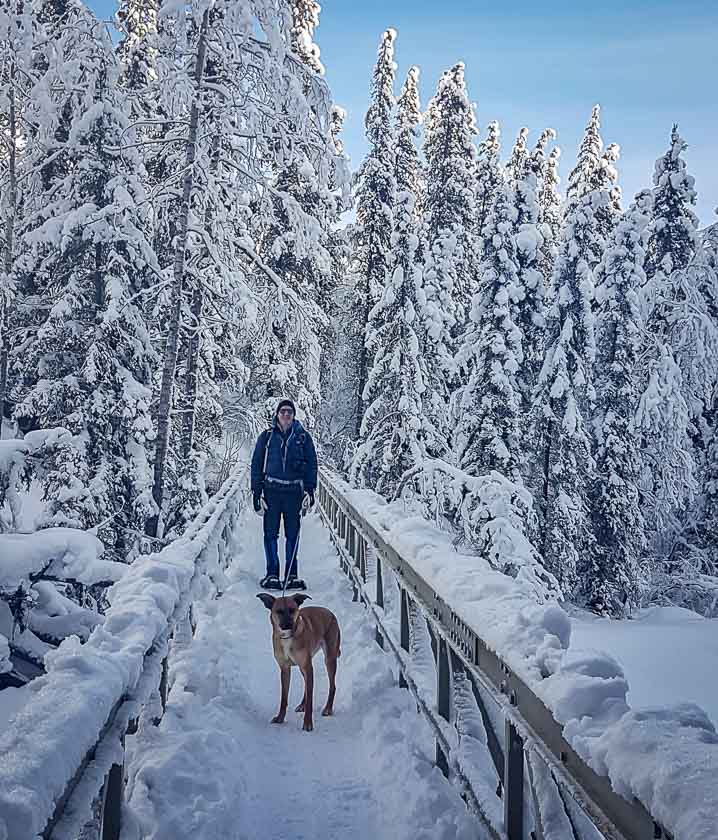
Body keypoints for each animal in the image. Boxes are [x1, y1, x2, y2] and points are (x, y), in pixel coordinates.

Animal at [258, 592, 342, 732]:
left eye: (292, 610)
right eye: (279, 611)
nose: (288, 624)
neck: (287, 637)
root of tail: (329, 612)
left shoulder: (308, 667)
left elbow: (310, 701)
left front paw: (308, 723)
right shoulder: (285, 669)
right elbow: (284, 698)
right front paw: (280, 718)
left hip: (329, 659)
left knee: (332, 686)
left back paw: (328, 708)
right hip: (305, 667)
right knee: (307, 687)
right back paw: (302, 704)